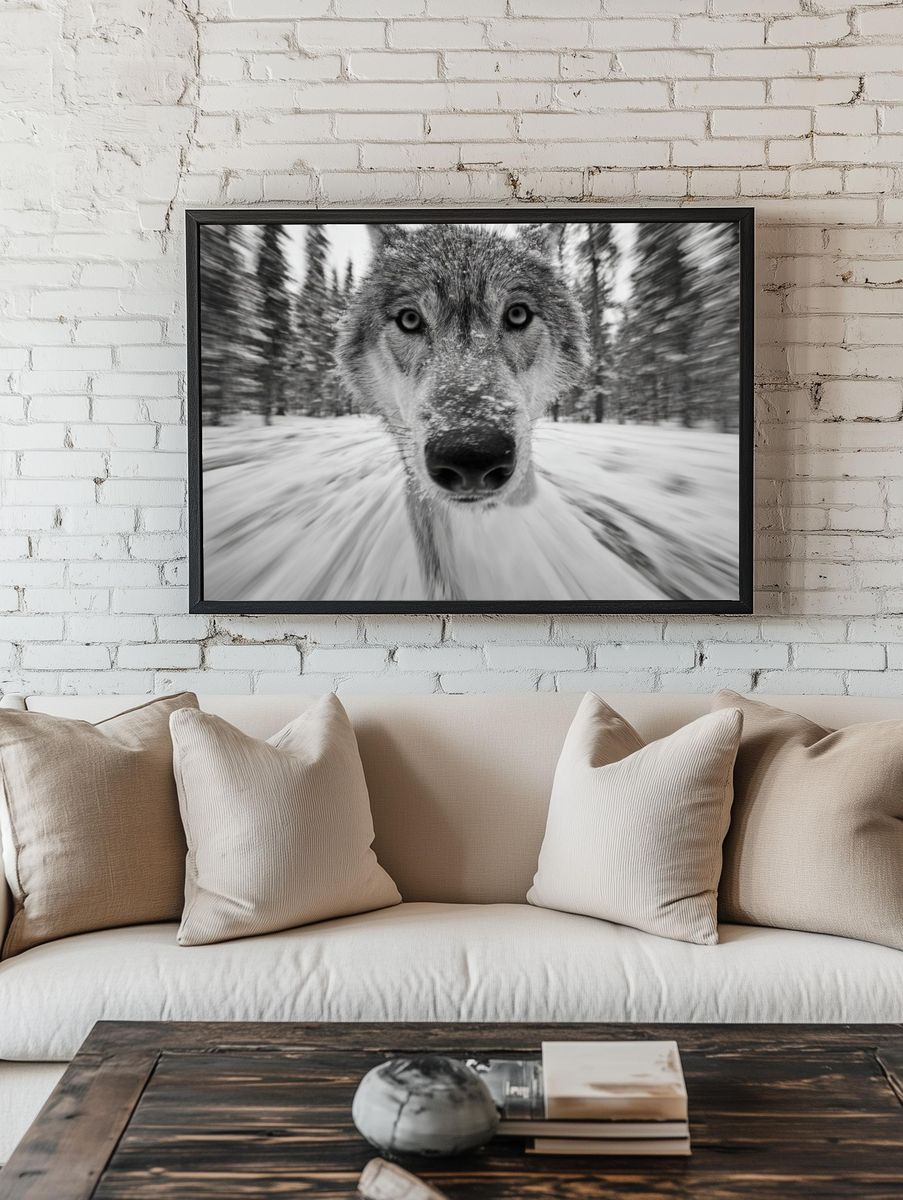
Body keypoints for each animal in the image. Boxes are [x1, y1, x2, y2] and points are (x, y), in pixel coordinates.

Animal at [336, 222, 589, 600]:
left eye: (517, 314)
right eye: (409, 319)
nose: (472, 456)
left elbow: (524, 485)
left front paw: (518, 491)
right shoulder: (416, 475)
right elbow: (437, 564)